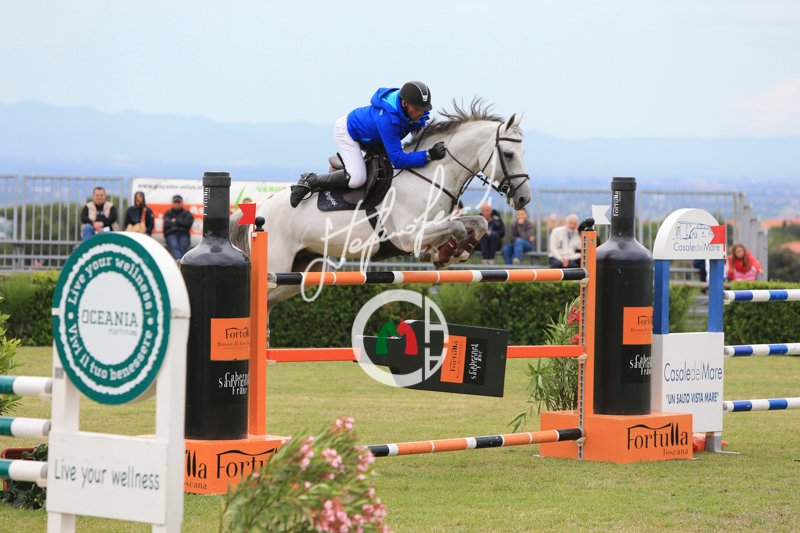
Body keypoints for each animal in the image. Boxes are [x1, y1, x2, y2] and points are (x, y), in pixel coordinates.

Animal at [231, 100, 532, 305]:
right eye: (508, 154)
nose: (523, 198)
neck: (430, 174)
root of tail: (261, 209)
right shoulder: (407, 237)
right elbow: (456, 228)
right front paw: (442, 254)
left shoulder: (439, 222)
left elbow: (477, 222)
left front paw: (454, 253)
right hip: (276, 266)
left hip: (301, 272)